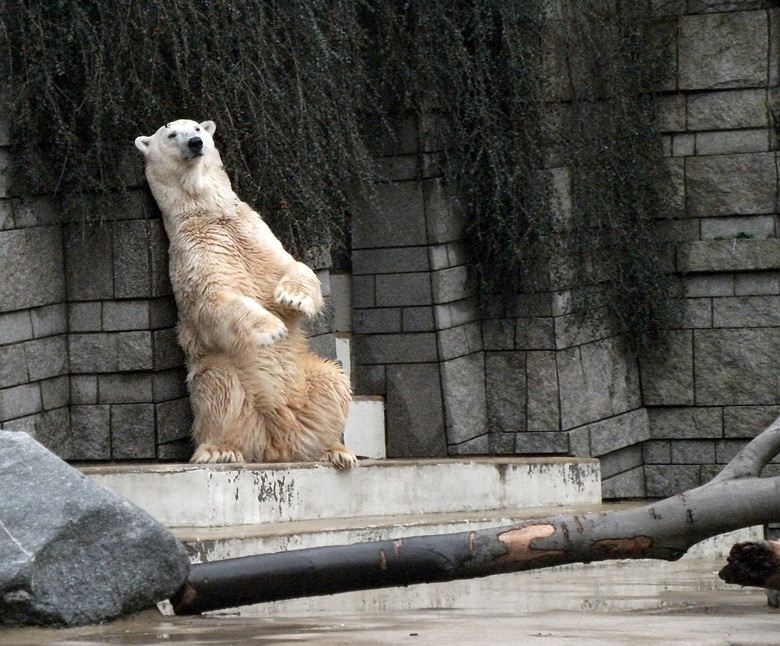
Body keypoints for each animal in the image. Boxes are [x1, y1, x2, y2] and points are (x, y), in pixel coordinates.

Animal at [134, 119, 356, 468]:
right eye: (171, 133)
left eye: (197, 128)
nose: (196, 143)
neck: (211, 215)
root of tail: (276, 444)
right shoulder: (193, 252)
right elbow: (213, 301)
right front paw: (271, 329)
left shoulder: (253, 234)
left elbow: (295, 268)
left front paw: (292, 298)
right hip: (226, 377)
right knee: (218, 388)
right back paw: (220, 450)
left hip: (307, 378)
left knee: (332, 380)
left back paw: (334, 450)